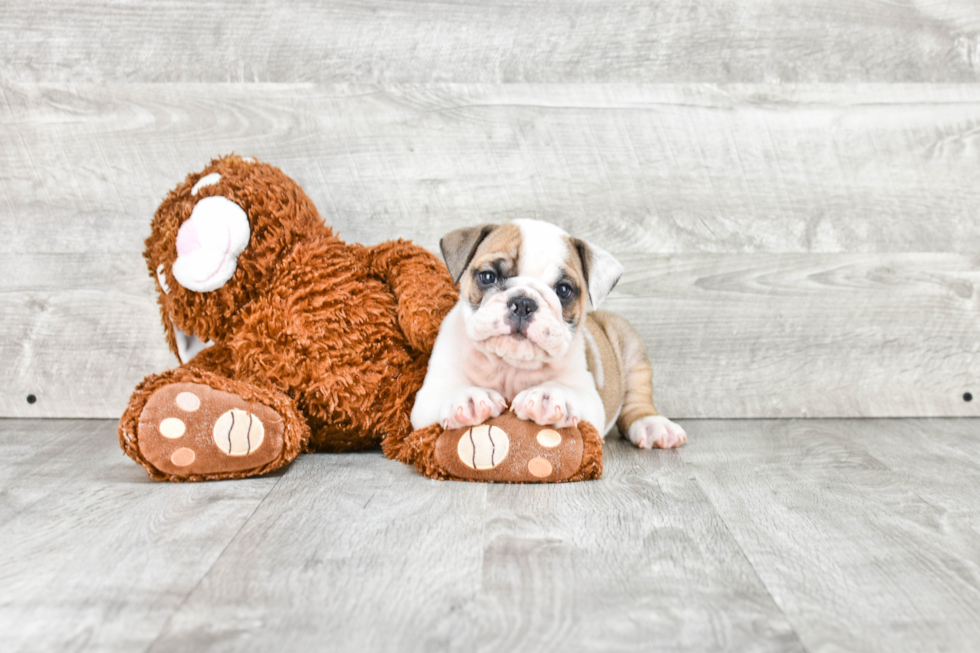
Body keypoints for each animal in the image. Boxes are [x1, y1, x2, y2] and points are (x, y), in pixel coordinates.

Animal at [410, 219, 684, 448]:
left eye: (563, 290)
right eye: (488, 277)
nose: (523, 303)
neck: (510, 365)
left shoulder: (588, 396)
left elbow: (568, 391)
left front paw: (550, 396)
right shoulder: (428, 396)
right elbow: (446, 393)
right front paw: (467, 397)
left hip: (630, 345)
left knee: (637, 400)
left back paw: (652, 425)